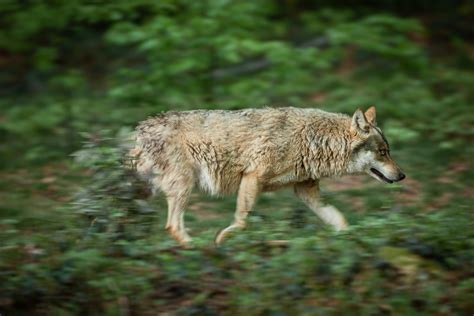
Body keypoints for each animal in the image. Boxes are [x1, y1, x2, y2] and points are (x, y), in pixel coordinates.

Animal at [131, 107, 404, 246]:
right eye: (383, 152)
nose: (402, 175)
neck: (315, 141)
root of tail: (139, 130)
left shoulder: (305, 191)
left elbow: (340, 219)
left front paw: (350, 240)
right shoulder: (252, 178)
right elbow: (242, 220)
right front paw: (223, 240)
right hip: (183, 187)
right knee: (173, 226)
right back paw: (196, 249)